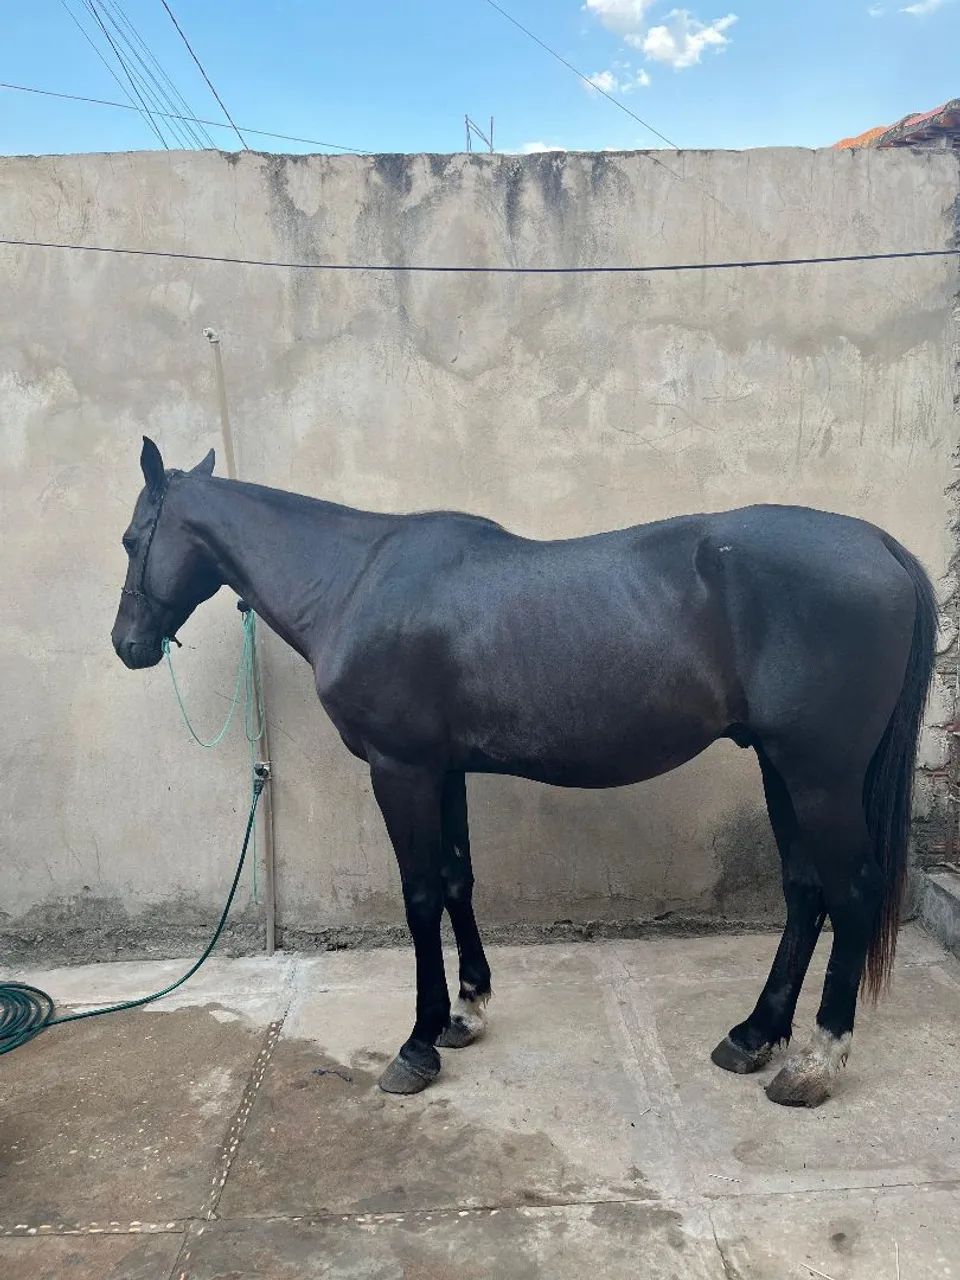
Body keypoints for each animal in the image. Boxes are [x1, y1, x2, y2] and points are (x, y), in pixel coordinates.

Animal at [112, 437, 936, 1106]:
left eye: (130, 537)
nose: (127, 644)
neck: (356, 578)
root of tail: (883, 547)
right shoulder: (443, 770)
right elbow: (455, 878)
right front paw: (465, 1011)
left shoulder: (400, 769)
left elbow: (418, 895)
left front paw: (417, 1043)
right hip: (779, 764)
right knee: (806, 890)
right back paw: (754, 1034)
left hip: (819, 774)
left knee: (851, 892)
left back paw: (815, 1064)